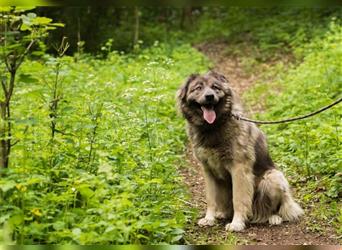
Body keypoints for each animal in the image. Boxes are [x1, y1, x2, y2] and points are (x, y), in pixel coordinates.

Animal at [178, 70, 304, 230]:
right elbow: (211, 199)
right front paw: (209, 218)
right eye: (198, 88)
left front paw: (237, 223)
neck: (213, 127)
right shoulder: (208, 170)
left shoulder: (239, 168)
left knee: (276, 208)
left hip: (272, 178)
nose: (209, 96)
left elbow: (238, 199)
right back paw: (223, 213)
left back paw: (273, 217)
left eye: (215, 87)